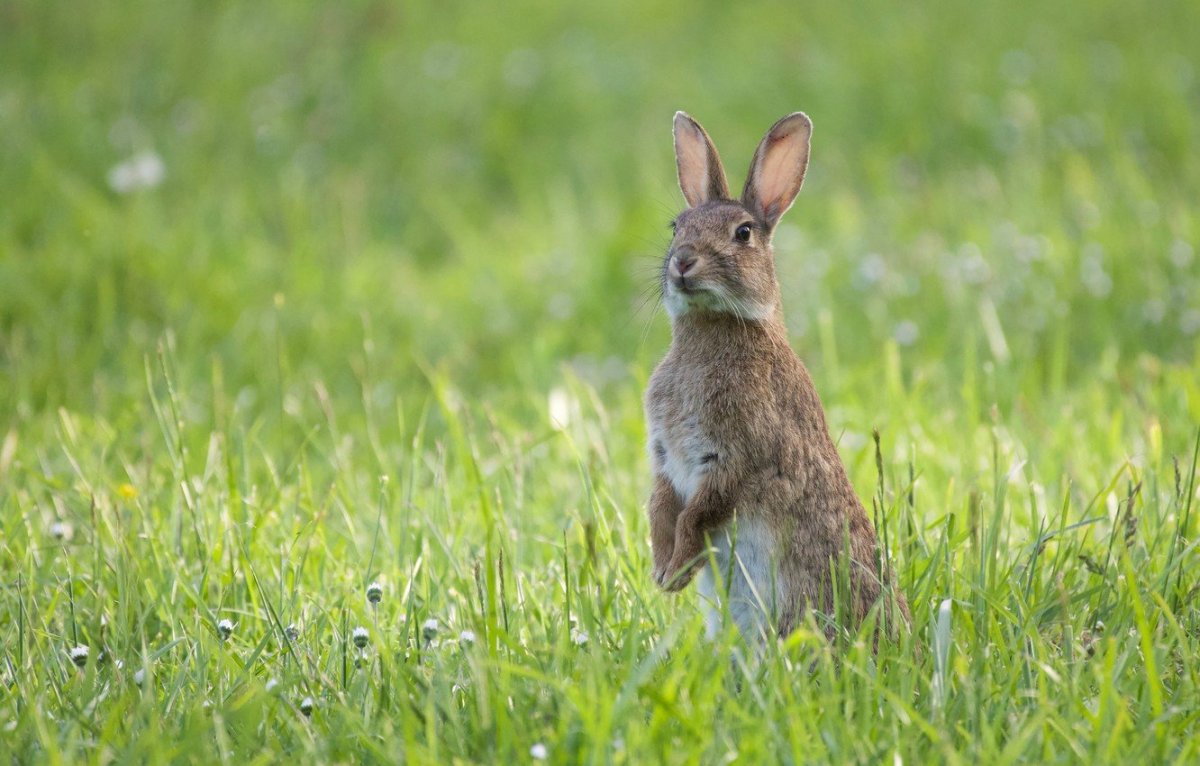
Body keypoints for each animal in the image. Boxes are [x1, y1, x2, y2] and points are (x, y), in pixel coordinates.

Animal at [645, 111, 910, 642]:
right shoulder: (664, 456)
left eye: (743, 233)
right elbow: (662, 505)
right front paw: (664, 572)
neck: (716, 326)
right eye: (676, 226)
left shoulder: (735, 454)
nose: (683, 262)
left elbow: (698, 513)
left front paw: (677, 570)